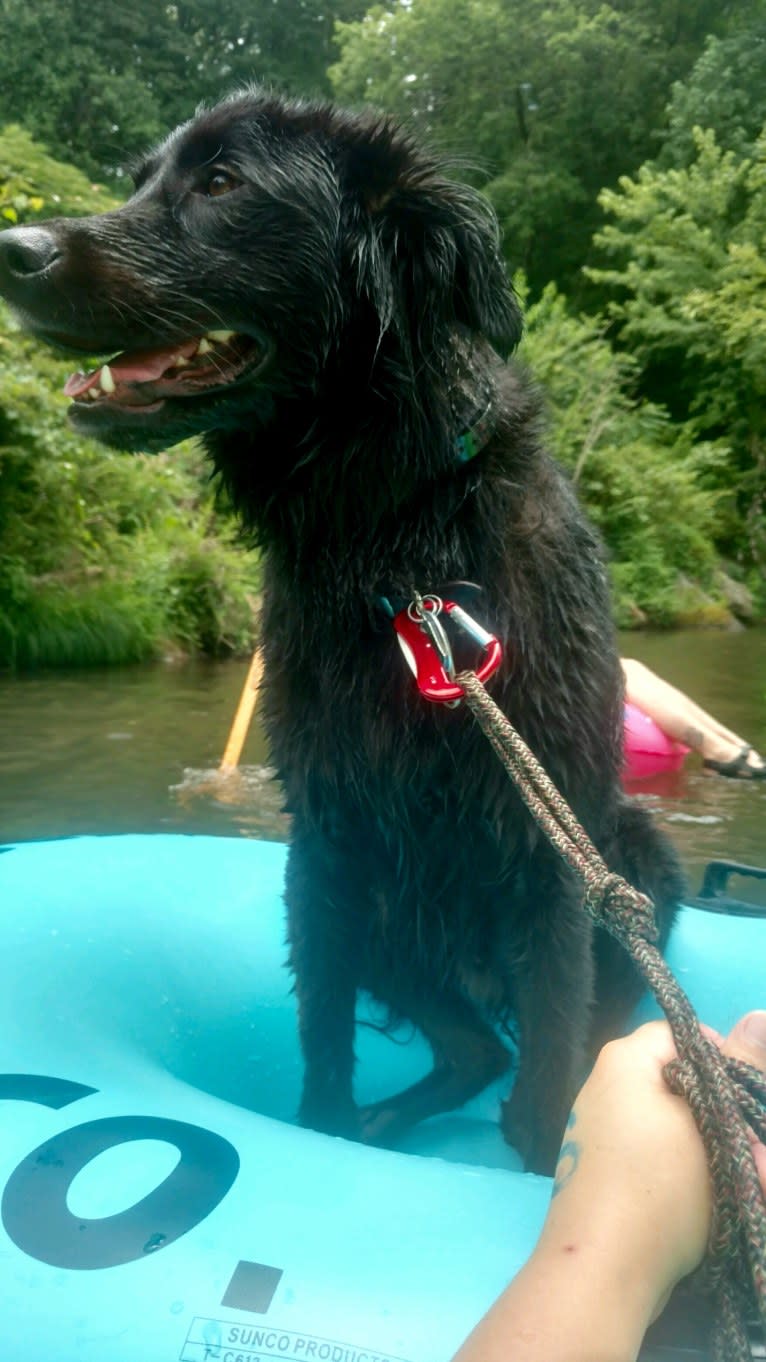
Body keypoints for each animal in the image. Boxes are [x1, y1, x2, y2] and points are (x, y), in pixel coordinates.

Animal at [0, 87, 678, 1171]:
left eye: (222, 183)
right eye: (143, 178)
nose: (12, 248)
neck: (397, 542)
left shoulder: (551, 866)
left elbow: (552, 1073)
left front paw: (545, 1170)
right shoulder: (326, 845)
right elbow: (323, 1047)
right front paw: (331, 1130)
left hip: (635, 857)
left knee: (552, 1040)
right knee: (476, 1048)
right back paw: (387, 1123)